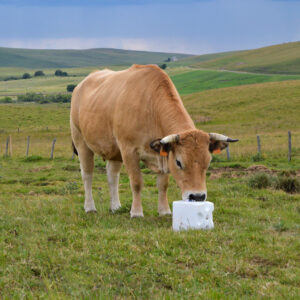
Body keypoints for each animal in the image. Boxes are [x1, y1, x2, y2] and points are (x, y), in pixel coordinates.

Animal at [70, 64, 239, 217]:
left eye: (208, 162)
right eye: (179, 162)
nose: (197, 197)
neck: (150, 107)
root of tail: (81, 84)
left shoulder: (162, 153)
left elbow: (163, 184)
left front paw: (164, 210)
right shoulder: (129, 151)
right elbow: (136, 182)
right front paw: (136, 212)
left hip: (114, 150)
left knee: (112, 176)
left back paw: (116, 207)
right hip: (81, 143)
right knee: (87, 175)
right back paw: (90, 207)